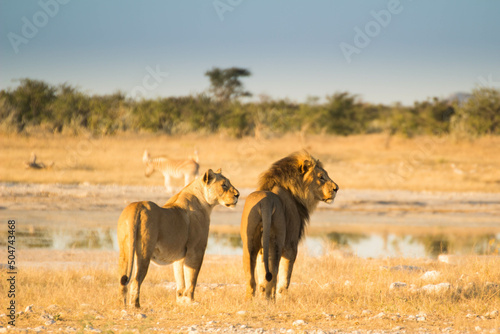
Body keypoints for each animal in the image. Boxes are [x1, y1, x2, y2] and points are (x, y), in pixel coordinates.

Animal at [119, 168, 240, 310]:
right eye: (224, 185)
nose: (238, 195)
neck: (204, 203)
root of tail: (137, 206)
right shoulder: (196, 250)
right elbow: (191, 278)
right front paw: (191, 301)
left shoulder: (179, 255)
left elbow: (180, 279)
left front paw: (181, 300)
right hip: (144, 252)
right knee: (135, 281)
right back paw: (136, 306)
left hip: (125, 251)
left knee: (122, 281)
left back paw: (122, 306)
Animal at [240, 151, 338, 300]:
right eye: (321, 177)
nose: (336, 188)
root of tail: (265, 203)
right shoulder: (291, 245)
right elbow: (285, 278)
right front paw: (283, 299)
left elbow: (262, 276)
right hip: (276, 242)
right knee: (273, 276)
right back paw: (271, 301)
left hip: (249, 244)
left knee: (252, 279)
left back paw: (250, 301)